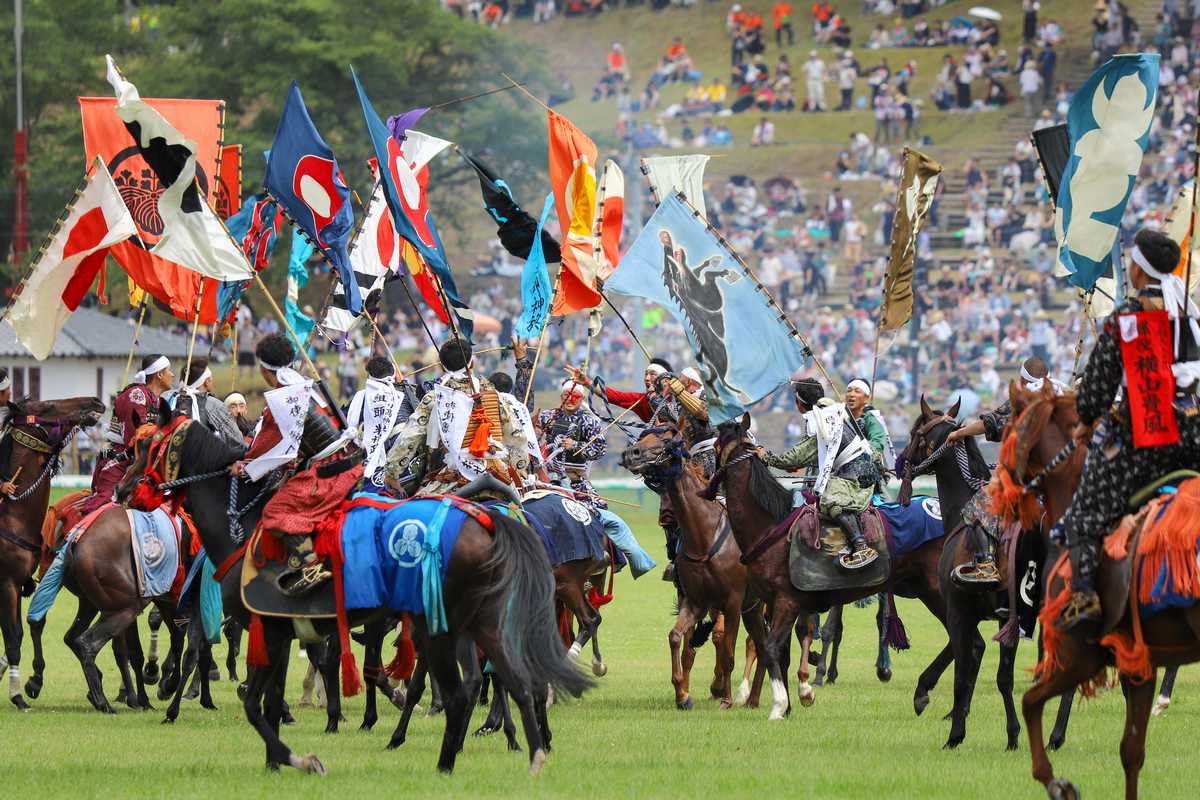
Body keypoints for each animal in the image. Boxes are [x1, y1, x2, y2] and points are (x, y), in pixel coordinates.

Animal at [0, 398, 104, 714]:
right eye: (46, 407)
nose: (95, 402)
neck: (12, 517)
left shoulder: (16, 584)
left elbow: (21, 633)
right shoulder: (7, 585)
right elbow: (13, 639)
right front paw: (18, 696)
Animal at [118, 407, 590, 777]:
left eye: (148, 446)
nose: (123, 490)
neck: (247, 529)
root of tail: (488, 519)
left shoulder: (270, 629)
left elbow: (256, 702)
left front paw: (300, 758)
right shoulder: (281, 630)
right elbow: (268, 701)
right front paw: (277, 759)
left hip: (436, 626)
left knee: (463, 692)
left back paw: (445, 763)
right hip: (482, 620)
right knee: (516, 680)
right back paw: (530, 752)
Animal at [705, 417, 950, 724]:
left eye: (715, 445)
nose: (706, 484)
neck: (769, 526)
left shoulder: (787, 602)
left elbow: (772, 648)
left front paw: (779, 706)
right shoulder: (778, 604)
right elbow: (783, 653)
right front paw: (789, 705)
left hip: (939, 592)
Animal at [902, 398, 1080, 753]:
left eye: (916, 432)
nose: (900, 461)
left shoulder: (959, 613)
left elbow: (964, 672)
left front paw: (955, 733)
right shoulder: (1005, 617)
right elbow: (1001, 676)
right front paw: (1012, 734)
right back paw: (1056, 736)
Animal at [998, 383, 1200, 796]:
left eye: (1009, 426)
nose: (995, 493)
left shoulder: (1081, 651)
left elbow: (1033, 699)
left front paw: (1057, 775)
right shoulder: (1137, 659)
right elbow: (1132, 751)